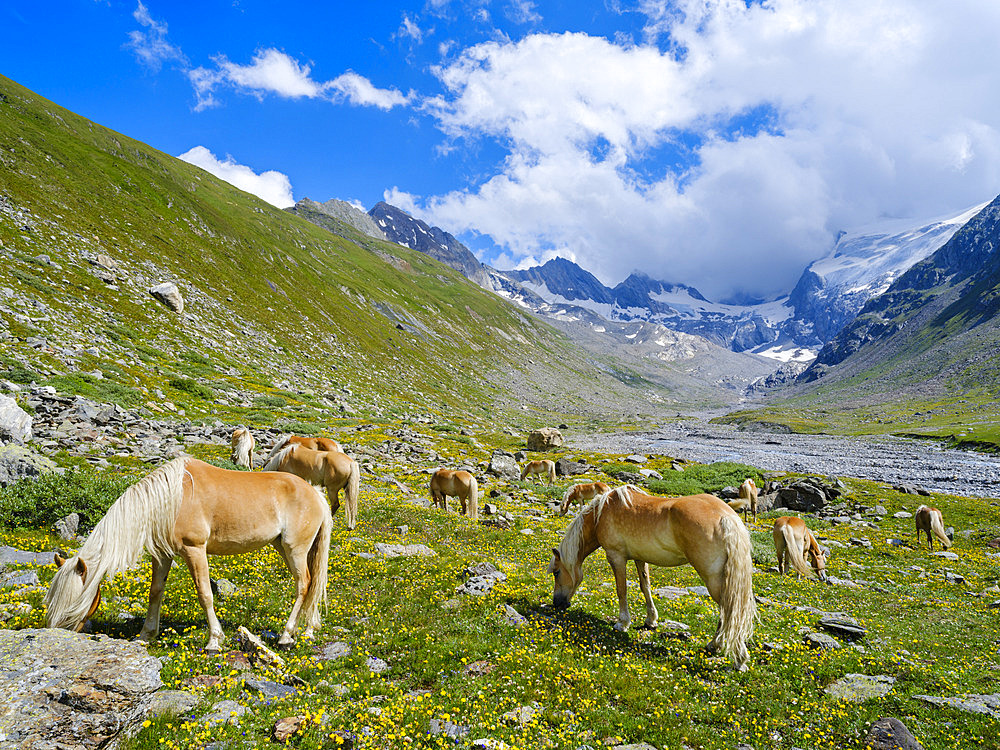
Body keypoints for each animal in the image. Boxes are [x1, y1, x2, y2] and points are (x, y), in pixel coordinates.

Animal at [45, 456, 332, 656]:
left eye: (70, 604)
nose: (58, 639)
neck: (170, 501)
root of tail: (316, 493)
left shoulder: (195, 550)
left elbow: (204, 594)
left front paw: (214, 640)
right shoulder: (163, 555)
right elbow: (155, 592)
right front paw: (145, 635)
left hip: (294, 549)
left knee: (304, 584)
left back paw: (286, 636)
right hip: (283, 547)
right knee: (312, 585)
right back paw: (308, 630)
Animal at [548, 488, 756, 676]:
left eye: (557, 573)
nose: (557, 603)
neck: (601, 512)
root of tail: (726, 516)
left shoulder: (616, 556)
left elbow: (621, 590)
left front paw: (622, 623)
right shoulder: (639, 558)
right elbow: (645, 587)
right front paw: (651, 620)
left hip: (714, 580)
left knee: (731, 611)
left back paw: (737, 657)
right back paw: (716, 645)